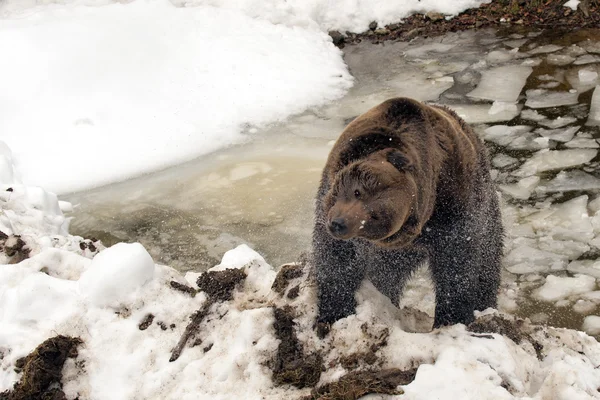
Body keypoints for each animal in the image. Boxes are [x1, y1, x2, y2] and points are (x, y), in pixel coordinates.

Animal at [312, 96, 504, 328]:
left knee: (488, 259)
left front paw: (452, 317)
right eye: (357, 192)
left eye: (375, 216)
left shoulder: (452, 204)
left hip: (487, 209)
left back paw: (486, 306)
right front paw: (334, 311)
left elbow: (456, 266)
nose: (339, 224)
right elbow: (336, 259)